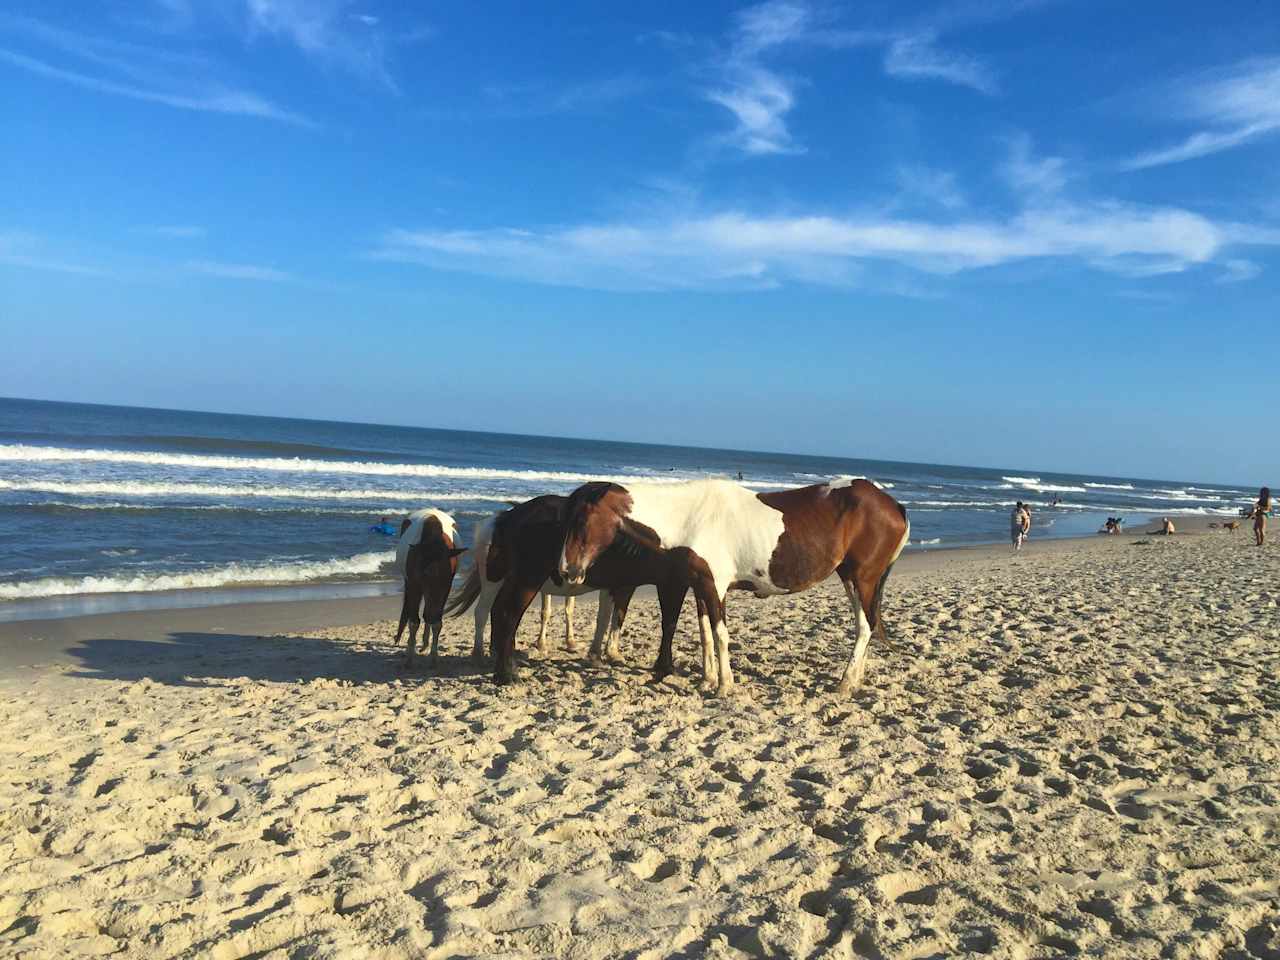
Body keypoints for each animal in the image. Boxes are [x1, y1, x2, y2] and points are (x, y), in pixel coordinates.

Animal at [396, 512, 468, 670]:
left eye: (444, 564)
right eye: (422, 561)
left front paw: (434, 658)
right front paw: (410, 658)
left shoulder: (443, 588)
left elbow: (435, 621)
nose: (429, 574)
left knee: (428, 614)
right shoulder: (415, 585)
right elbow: (414, 622)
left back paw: (425, 643)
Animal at [448, 491, 721, 686]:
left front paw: (601, 655)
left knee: (498, 612)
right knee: (495, 612)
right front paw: (664, 667)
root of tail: (507, 517)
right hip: (511, 580)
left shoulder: (622, 584)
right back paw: (499, 669)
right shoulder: (669, 584)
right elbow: (667, 623)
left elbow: (610, 617)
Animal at [560, 481, 911, 701]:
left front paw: (724, 686)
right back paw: (856, 680)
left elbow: (720, 635)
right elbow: (705, 633)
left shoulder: (713, 586)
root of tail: (893, 504)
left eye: (582, 521)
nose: (567, 570)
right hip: (852, 578)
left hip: (862, 578)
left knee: (864, 627)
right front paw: (708, 679)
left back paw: (846, 683)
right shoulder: (702, 586)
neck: (690, 517)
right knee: (866, 625)